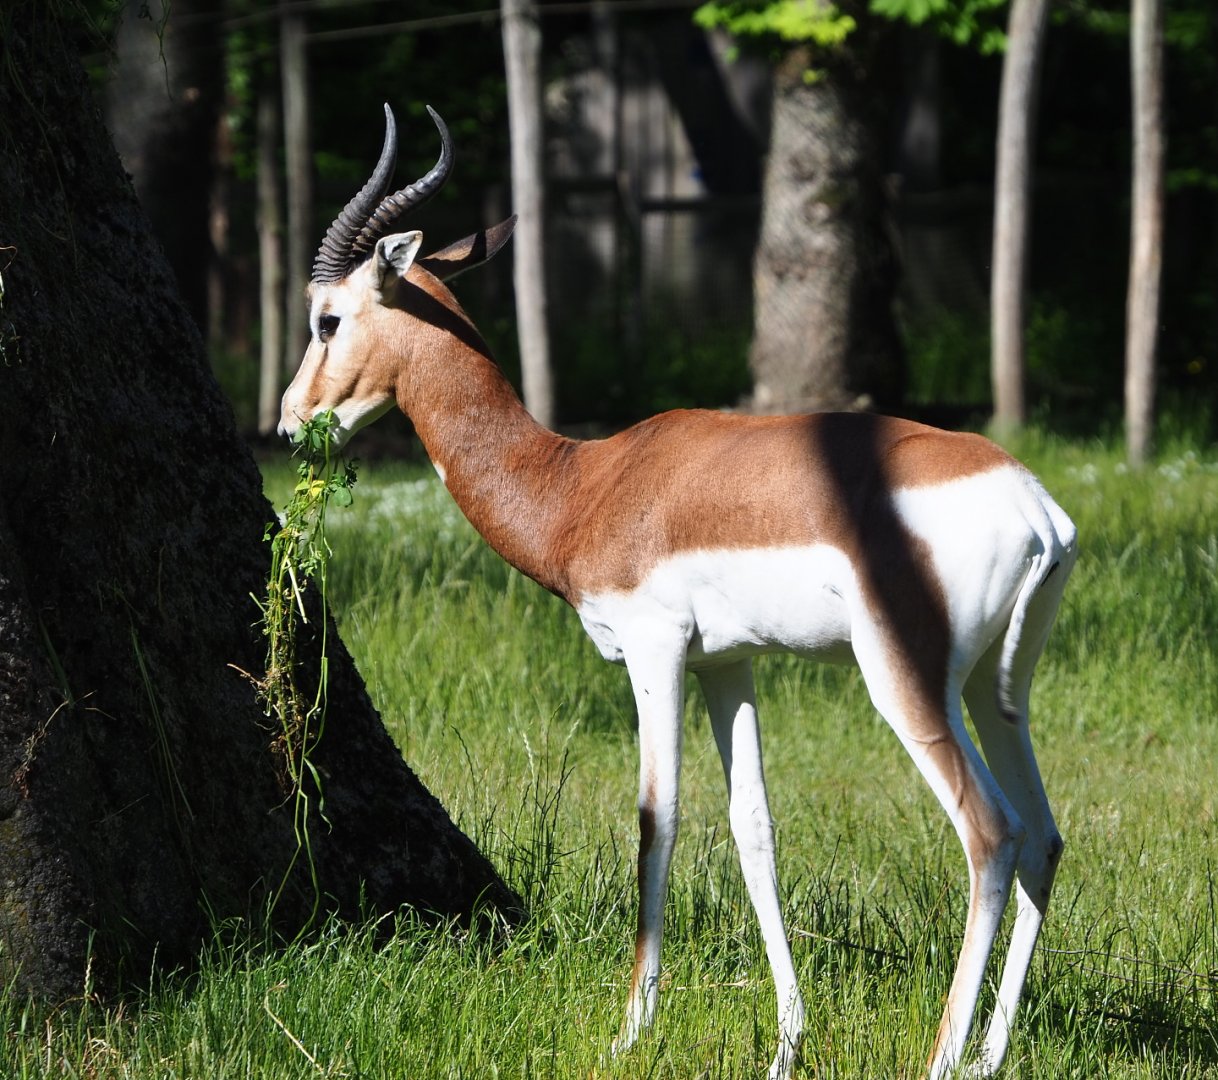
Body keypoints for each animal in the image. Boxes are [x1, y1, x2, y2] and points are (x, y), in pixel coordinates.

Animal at [280, 105, 1077, 1080]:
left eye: (327, 318)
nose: (289, 421)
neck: (583, 485)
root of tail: (1034, 506)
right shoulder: (726, 665)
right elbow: (754, 829)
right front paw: (786, 1043)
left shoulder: (653, 652)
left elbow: (654, 822)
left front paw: (631, 1030)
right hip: (998, 691)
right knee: (1043, 834)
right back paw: (991, 1053)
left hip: (906, 681)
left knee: (991, 834)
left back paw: (942, 1057)